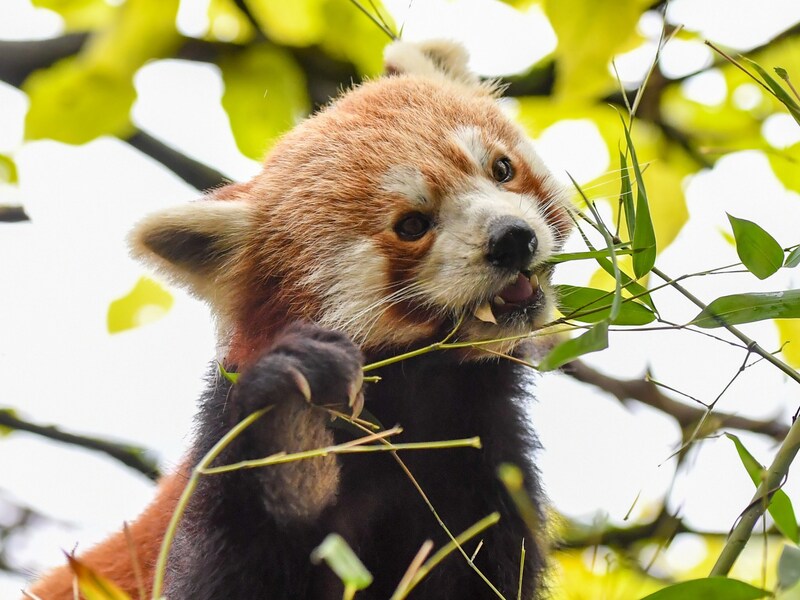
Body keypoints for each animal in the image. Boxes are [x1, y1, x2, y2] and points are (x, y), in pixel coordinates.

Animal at [28, 39, 572, 596]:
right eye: (412, 224)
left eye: (501, 169)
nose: (512, 238)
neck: (421, 403)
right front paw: (286, 432)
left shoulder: (482, 473)